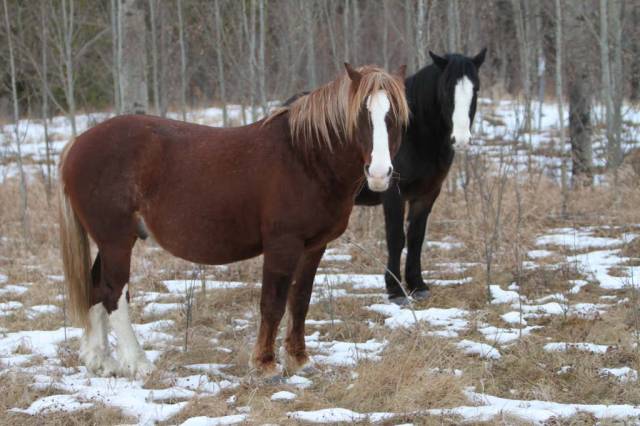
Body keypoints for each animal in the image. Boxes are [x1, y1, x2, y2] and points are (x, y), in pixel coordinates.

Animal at [58, 63, 408, 378]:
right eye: (361, 116)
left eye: (394, 118)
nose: (380, 174)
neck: (304, 157)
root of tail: (78, 143)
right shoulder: (283, 245)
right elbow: (273, 302)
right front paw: (265, 364)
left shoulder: (314, 247)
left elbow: (300, 301)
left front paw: (299, 360)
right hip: (117, 241)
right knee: (114, 294)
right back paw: (138, 363)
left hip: (108, 242)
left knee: (96, 288)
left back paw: (101, 361)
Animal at [355, 49, 486, 305]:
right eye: (446, 88)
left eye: (476, 88)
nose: (461, 139)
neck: (414, 134)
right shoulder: (392, 192)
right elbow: (396, 238)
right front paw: (395, 290)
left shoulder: (427, 193)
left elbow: (416, 237)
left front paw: (417, 285)